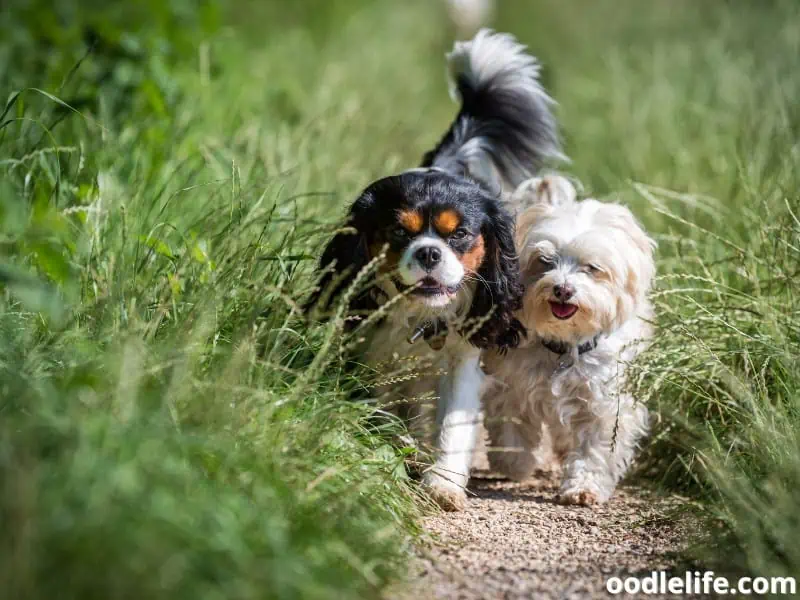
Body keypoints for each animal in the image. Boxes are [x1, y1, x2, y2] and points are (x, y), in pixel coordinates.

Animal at [306, 30, 564, 510]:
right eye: (397, 232)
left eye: (459, 234)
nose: (429, 253)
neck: (422, 319)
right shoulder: (370, 352)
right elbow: (380, 410)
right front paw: (392, 450)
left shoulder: (462, 357)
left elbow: (452, 426)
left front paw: (443, 482)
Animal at [482, 175, 656, 506]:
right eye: (545, 261)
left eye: (592, 268)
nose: (562, 289)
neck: (564, 347)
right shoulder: (510, 386)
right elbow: (511, 429)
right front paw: (516, 464)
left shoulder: (603, 403)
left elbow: (594, 449)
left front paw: (584, 487)